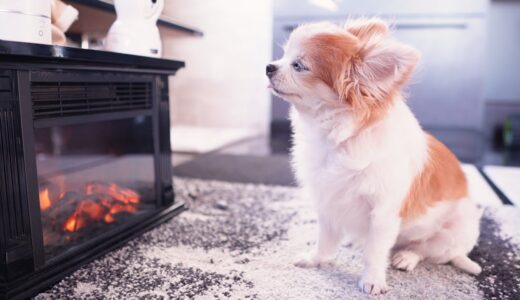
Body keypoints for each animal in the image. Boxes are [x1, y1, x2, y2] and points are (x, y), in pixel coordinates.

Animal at [268, 18, 484, 296]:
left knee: (424, 250)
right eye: (283, 55)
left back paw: (405, 257)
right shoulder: (328, 201)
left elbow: (375, 251)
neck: (337, 139)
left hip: (454, 232)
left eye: (298, 66)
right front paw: (317, 259)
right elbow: (325, 238)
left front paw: (372, 280)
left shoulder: (383, 214)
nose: (269, 66)